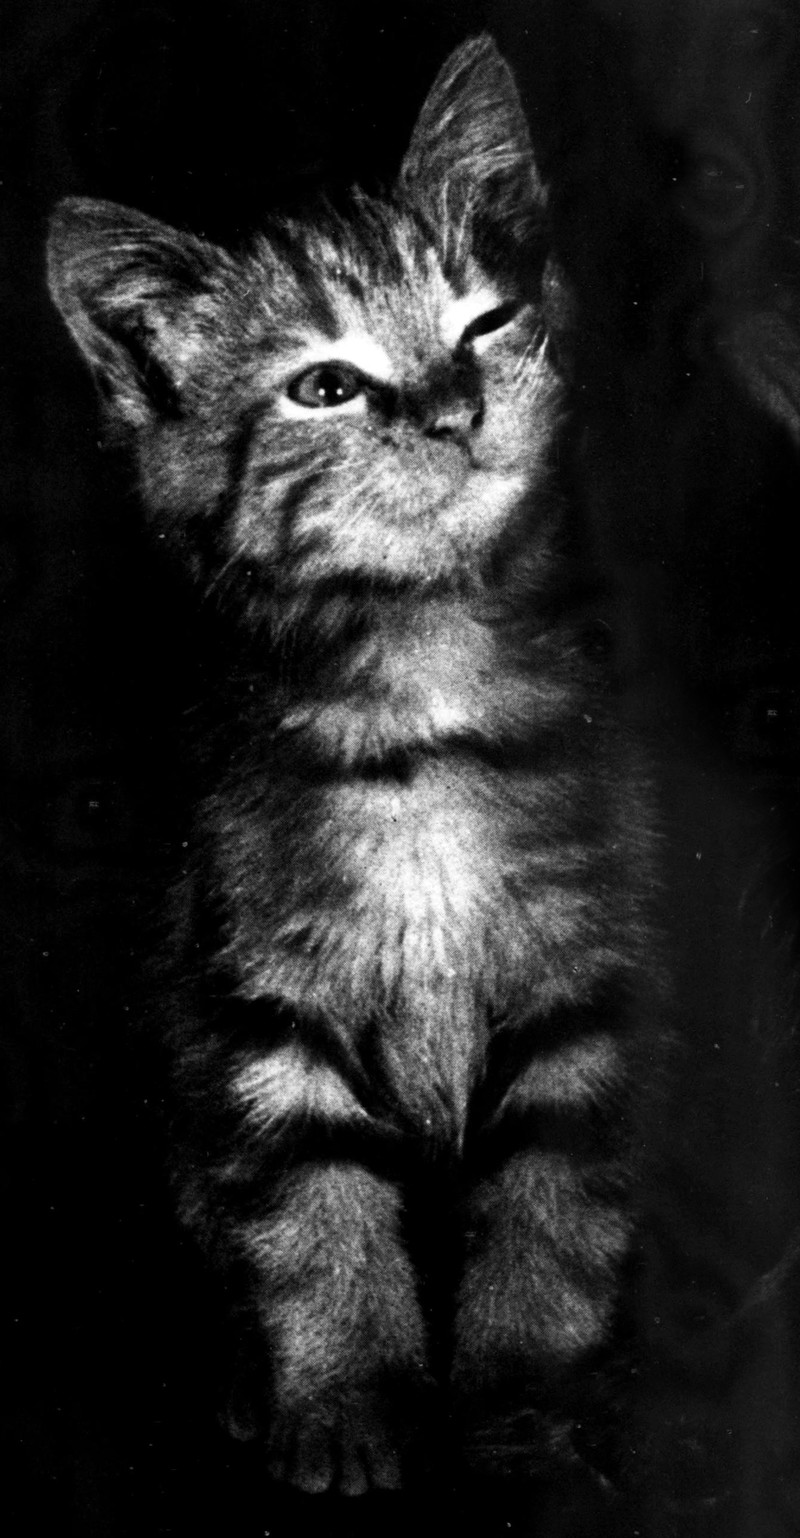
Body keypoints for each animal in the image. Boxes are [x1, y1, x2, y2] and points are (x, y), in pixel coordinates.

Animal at [46, 36, 663, 1499]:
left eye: (484, 324)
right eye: (323, 386)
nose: (450, 407)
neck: (418, 706)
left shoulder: (578, 973)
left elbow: (548, 1203)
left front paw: (521, 1404)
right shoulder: (254, 993)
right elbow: (309, 1205)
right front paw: (341, 1398)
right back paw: (242, 1378)